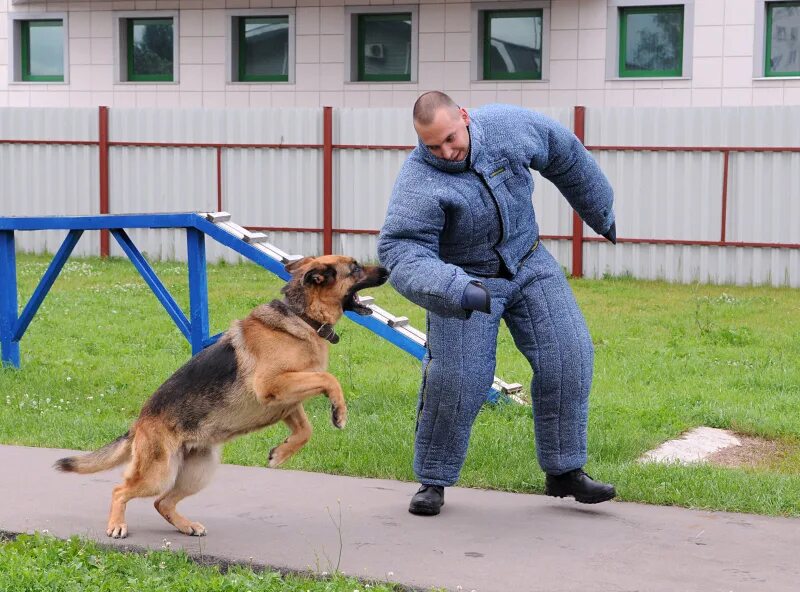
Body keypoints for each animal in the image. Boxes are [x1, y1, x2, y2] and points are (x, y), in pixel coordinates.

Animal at [55, 254, 388, 536]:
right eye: (355, 268)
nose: (387, 270)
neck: (302, 316)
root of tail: (139, 423)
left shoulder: (286, 402)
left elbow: (305, 430)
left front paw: (280, 454)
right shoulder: (272, 385)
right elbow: (329, 379)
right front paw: (339, 412)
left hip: (199, 471)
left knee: (162, 502)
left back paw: (186, 526)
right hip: (159, 473)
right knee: (121, 491)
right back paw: (117, 525)